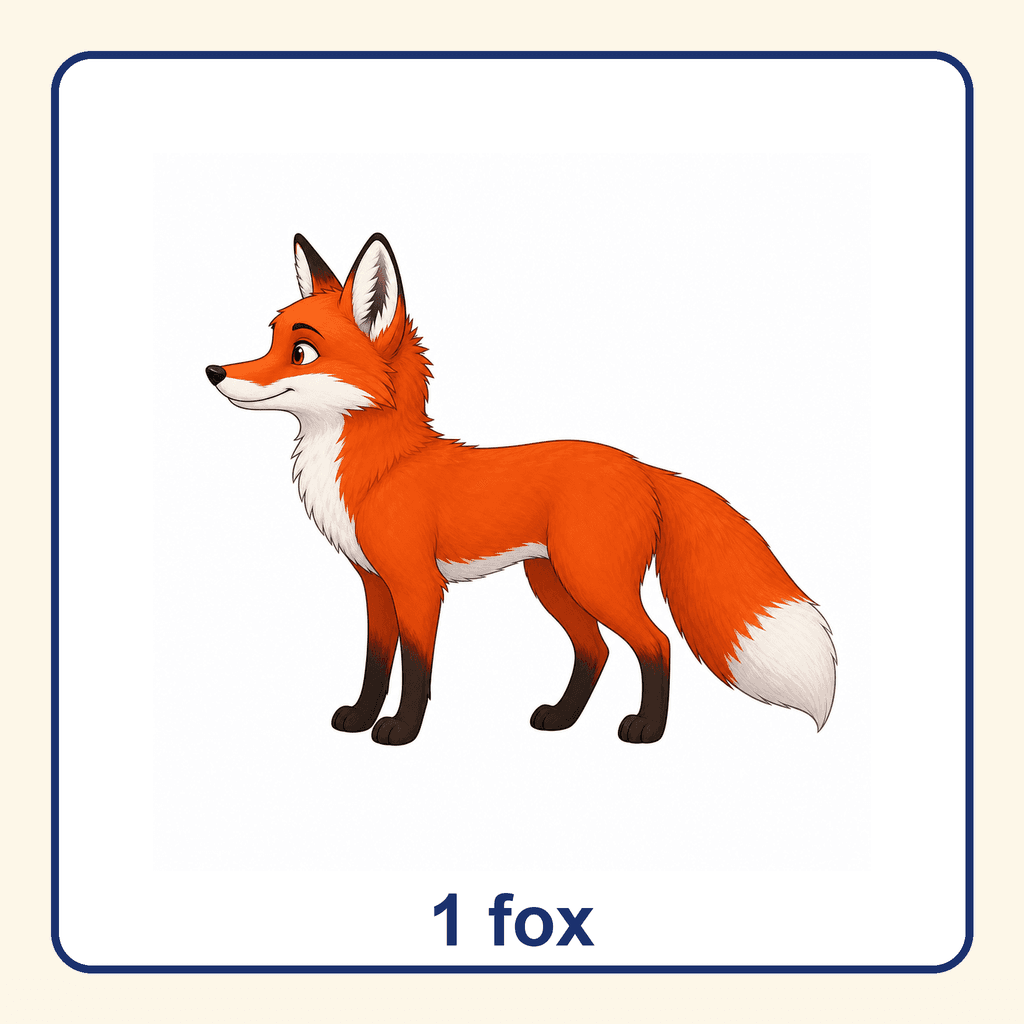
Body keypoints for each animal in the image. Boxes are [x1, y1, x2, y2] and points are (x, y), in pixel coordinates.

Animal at [206, 232, 836, 745]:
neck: (381, 468)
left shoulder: (418, 586)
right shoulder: (375, 585)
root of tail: (641, 466)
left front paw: (401, 730)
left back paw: (646, 730)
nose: (214, 371)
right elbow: (376, 662)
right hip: (553, 582)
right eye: (269, 341)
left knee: (655, 644)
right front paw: (361, 717)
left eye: (301, 351)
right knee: (596, 649)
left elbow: (415, 669)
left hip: (592, 580)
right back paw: (561, 718)